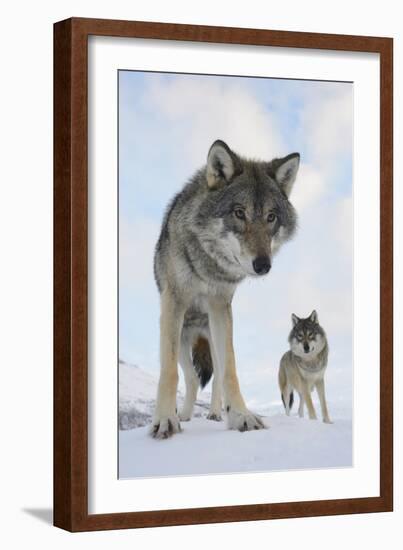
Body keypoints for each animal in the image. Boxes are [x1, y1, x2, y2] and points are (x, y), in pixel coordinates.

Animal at [151, 139, 300, 440]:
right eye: (239, 213)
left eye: (271, 217)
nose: (263, 265)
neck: (208, 265)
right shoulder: (174, 303)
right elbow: (168, 372)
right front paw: (165, 420)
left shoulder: (220, 306)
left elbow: (230, 371)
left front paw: (241, 416)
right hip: (182, 339)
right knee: (191, 378)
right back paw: (183, 415)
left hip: (211, 335)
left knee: (216, 376)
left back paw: (216, 414)